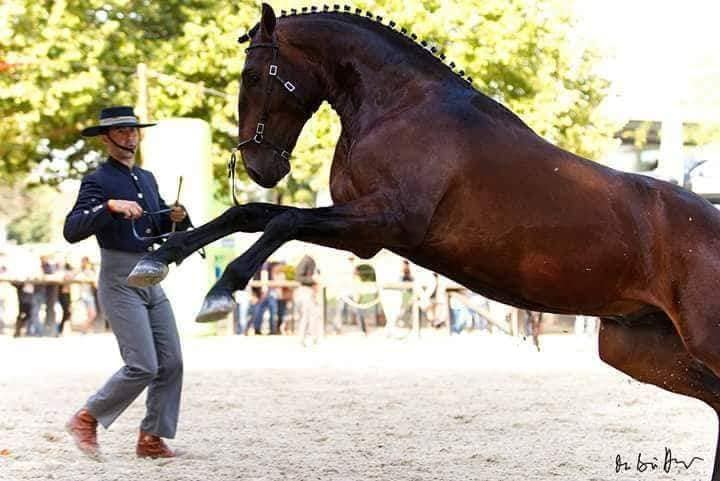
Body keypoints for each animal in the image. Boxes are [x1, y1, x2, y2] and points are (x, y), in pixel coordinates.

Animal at [128, 4, 720, 478]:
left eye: (254, 75)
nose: (258, 165)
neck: (401, 107)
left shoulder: (383, 223)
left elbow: (280, 223)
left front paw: (220, 292)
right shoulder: (364, 235)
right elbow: (252, 213)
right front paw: (158, 260)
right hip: (636, 348)